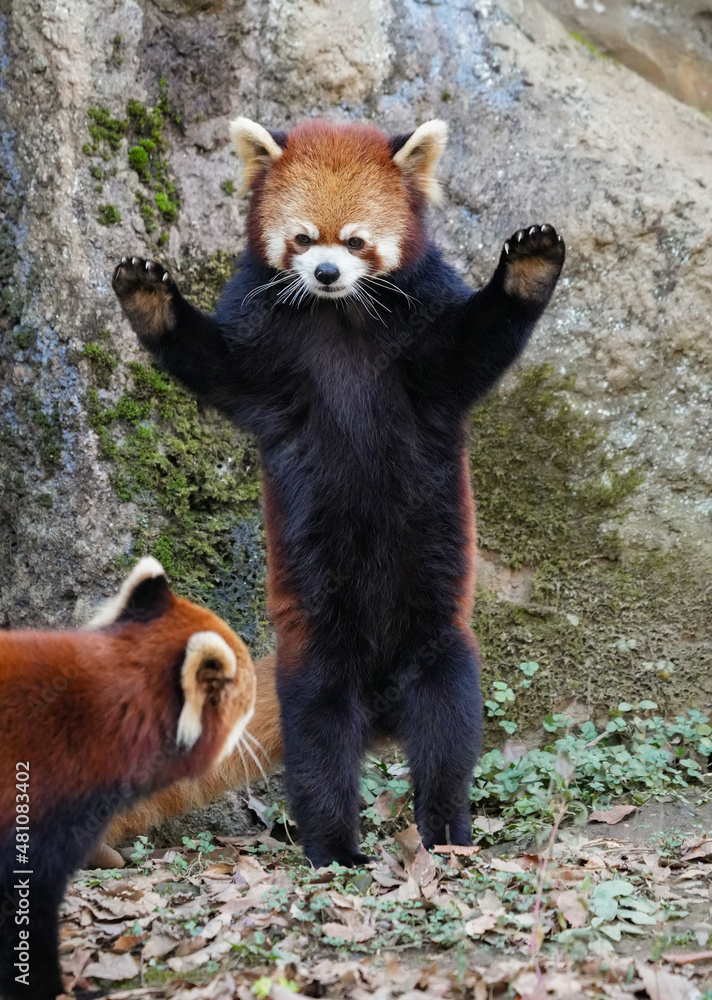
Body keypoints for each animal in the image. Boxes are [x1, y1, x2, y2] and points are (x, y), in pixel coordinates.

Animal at [112, 115, 568, 868]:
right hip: (318, 647)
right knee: (319, 741)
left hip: (439, 638)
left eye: (355, 241)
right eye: (303, 238)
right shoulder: (264, 347)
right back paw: (334, 848)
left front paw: (528, 269)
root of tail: (379, 698)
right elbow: (219, 366)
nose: (326, 274)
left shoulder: (428, 345)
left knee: (447, 729)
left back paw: (446, 831)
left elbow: (476, 346)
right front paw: (151, 301)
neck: (341, 316)